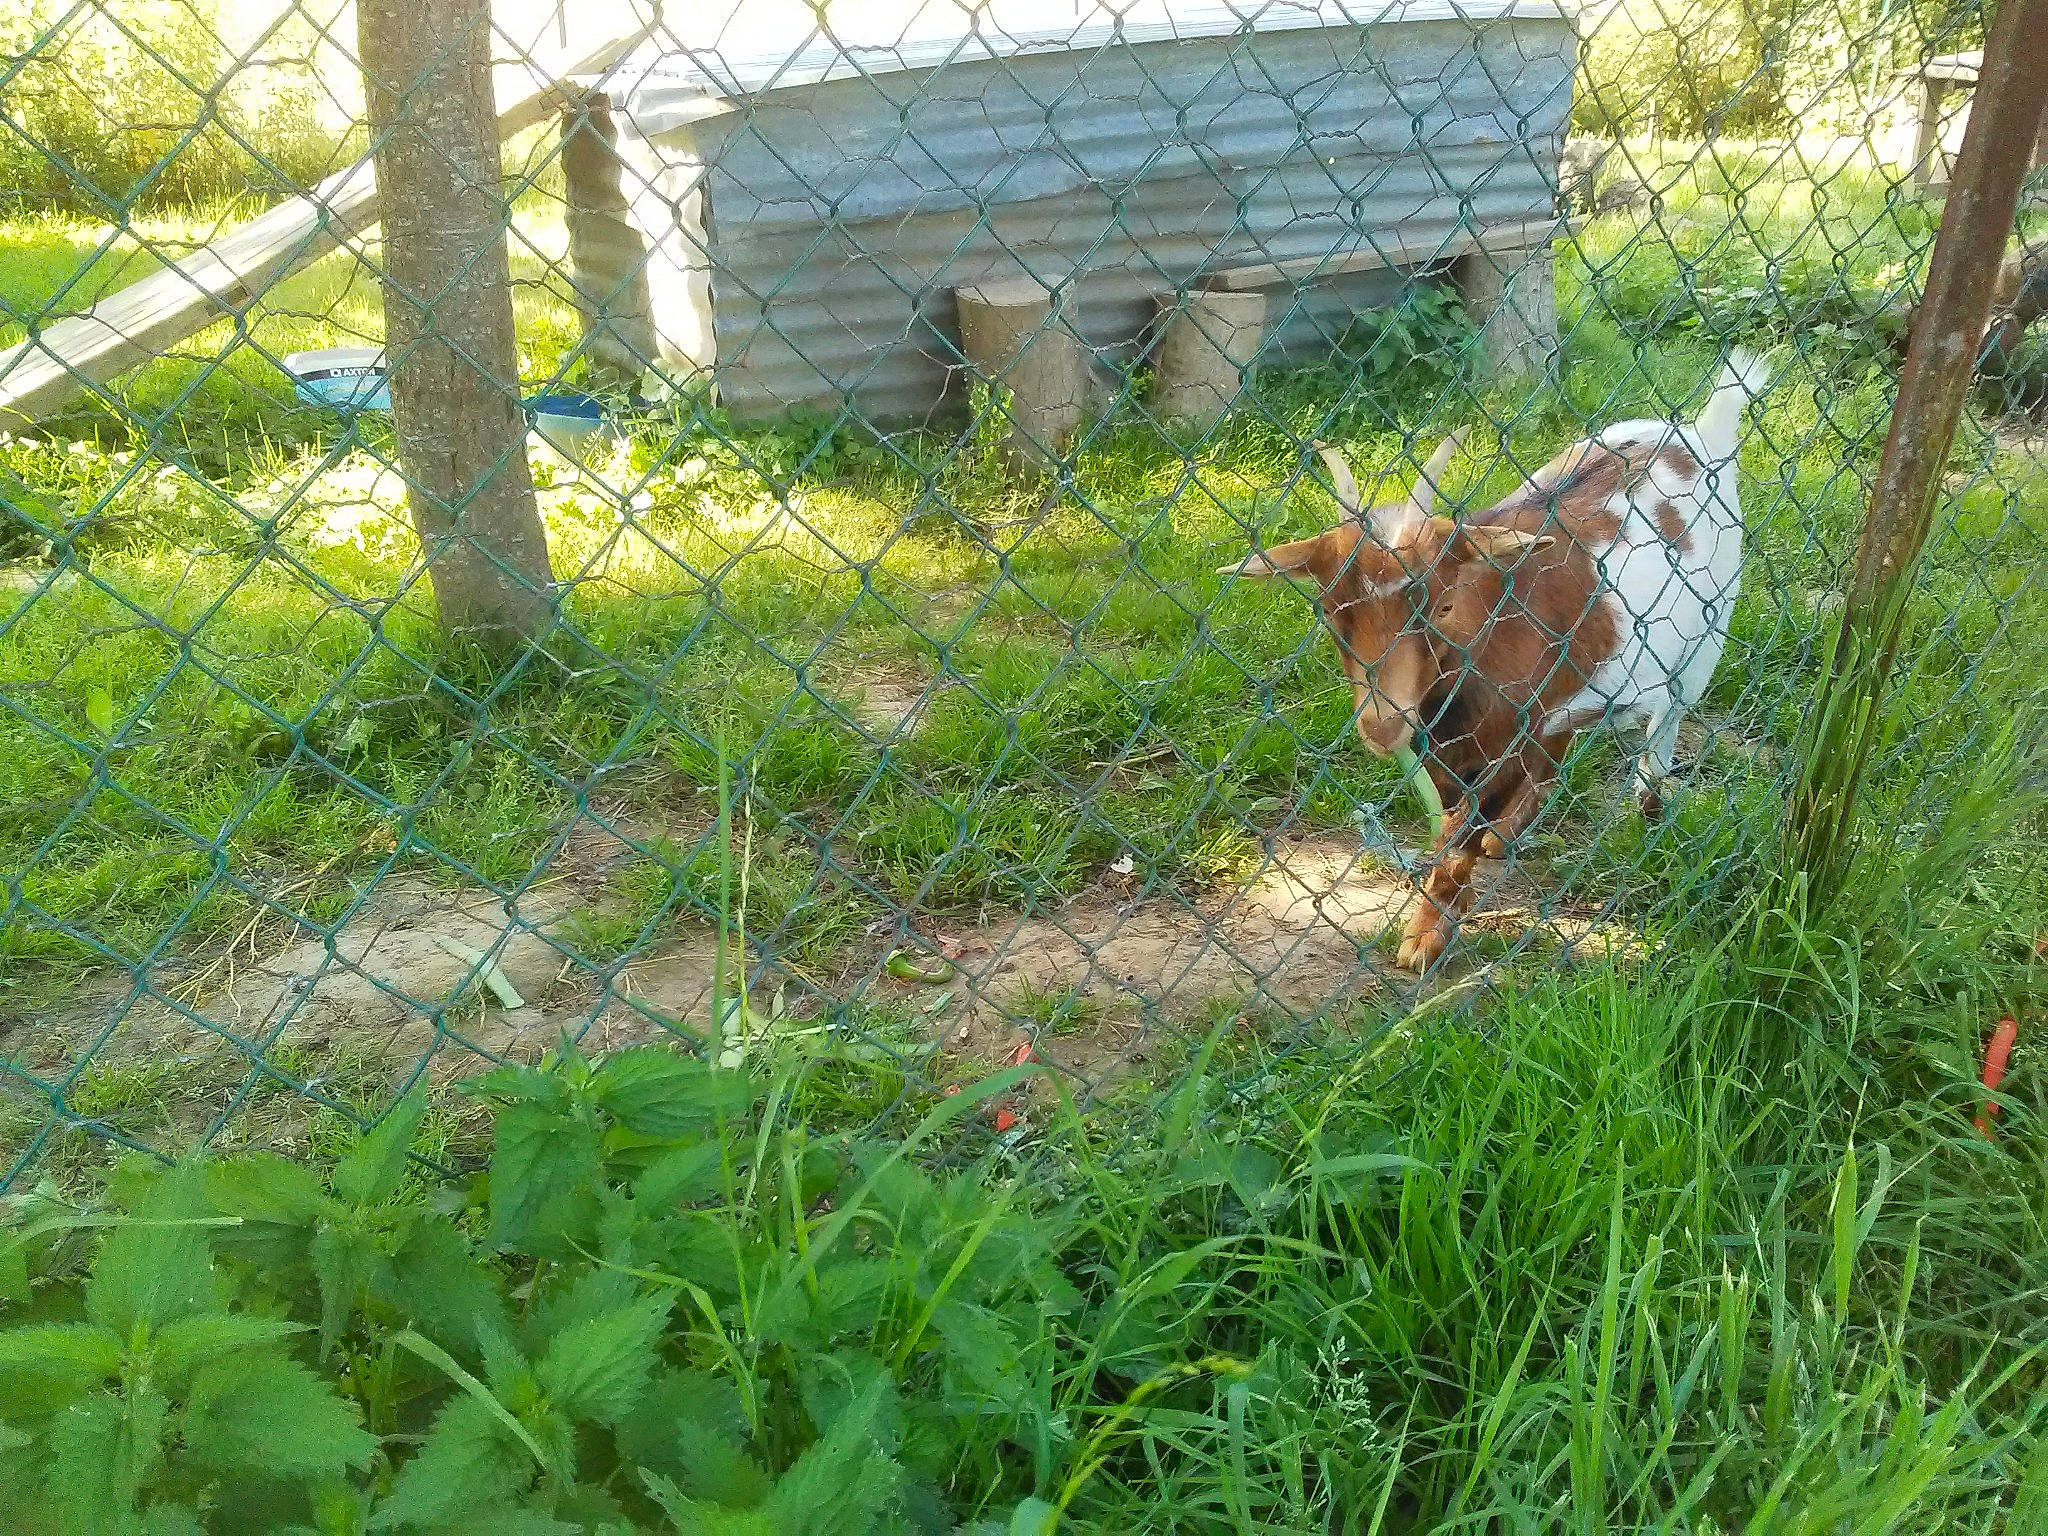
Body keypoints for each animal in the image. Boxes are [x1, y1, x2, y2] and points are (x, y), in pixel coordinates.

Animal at [1220, 351, 1769, 972]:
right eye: (1334, 613)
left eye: (1443, 604)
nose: (1382, 726)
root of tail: (1703, 431)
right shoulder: (1460, 743)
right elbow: (1456, 822)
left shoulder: (1512, 730)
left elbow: (1460, 842)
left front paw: (1424, 940)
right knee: (1557, 751)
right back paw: (1511, 832)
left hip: (1706, 640)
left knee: (1666, 724)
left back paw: (1648, 805)